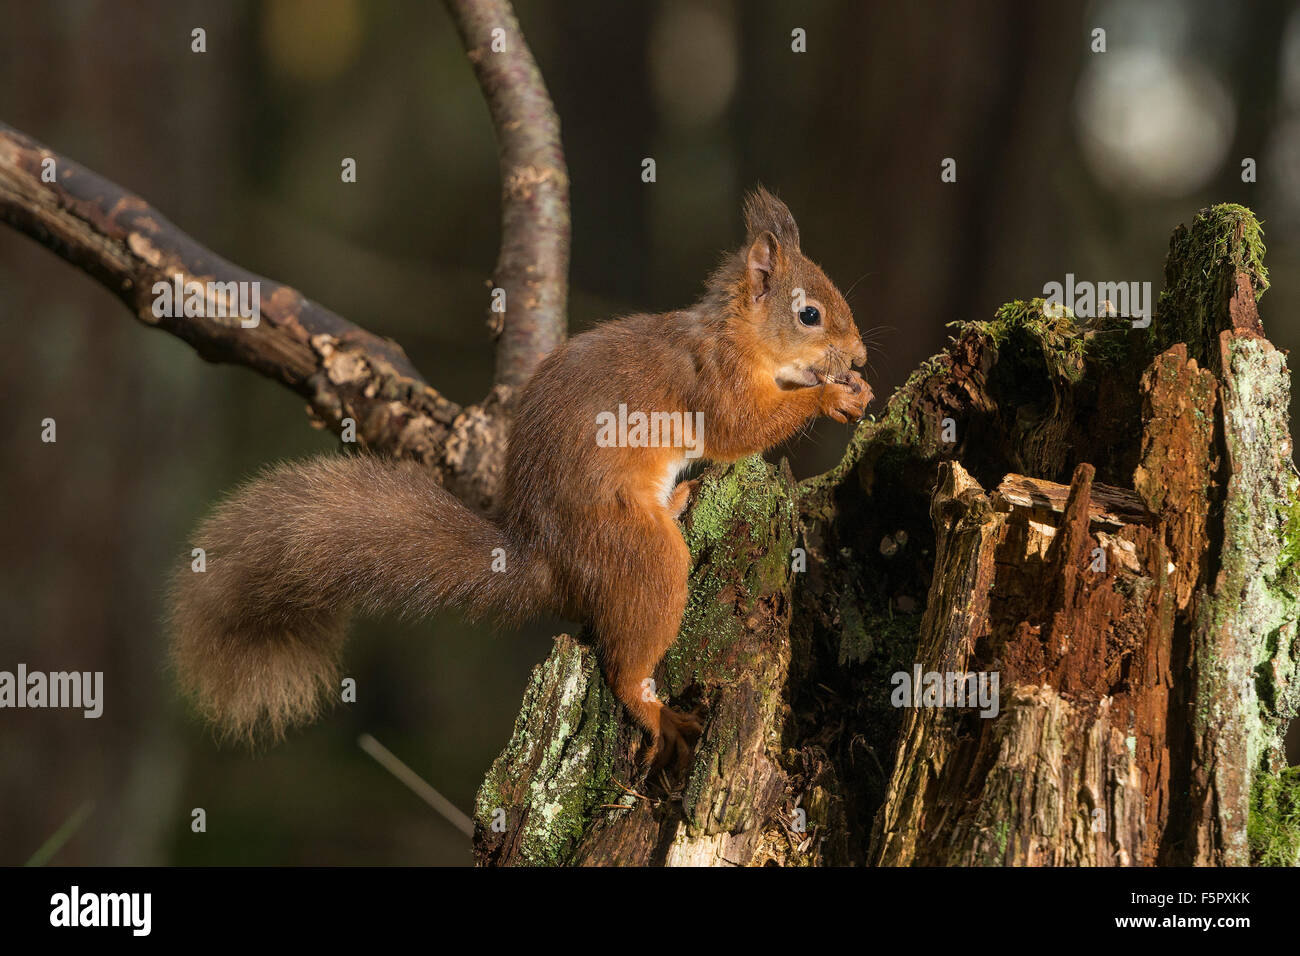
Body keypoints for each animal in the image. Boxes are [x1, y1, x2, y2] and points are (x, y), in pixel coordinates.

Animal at [169, 187, 871, 771]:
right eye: (810, 315)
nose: (862, 357)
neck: (737, 334)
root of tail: (548, 558)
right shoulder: (711, 382)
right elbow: (740, 428)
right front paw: (833, 395)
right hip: (637, 554)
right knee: (627, 662)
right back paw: (656, 712)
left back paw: (679, 495)